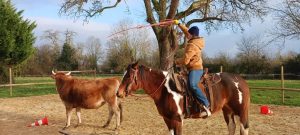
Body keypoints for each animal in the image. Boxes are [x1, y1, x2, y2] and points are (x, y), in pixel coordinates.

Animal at [117, 61, 251, 134]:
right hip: (228, 111)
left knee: (244, 128)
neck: (165, 89)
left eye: (128, 76)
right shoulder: (167, 119)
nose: (118, 93)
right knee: (232, 127)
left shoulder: (177, 119)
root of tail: (240, 80)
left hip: (241, 111)